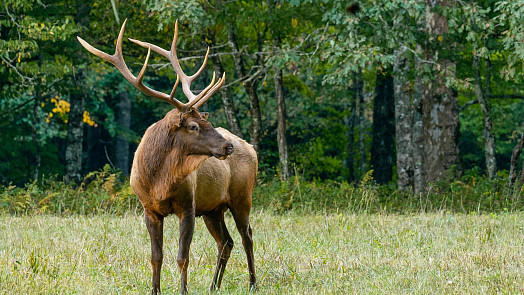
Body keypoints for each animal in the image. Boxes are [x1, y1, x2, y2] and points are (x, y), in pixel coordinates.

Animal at [78, 19, 258, 294]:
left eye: (206, 120)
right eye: (193, 126)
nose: (228, 147)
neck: (159, 182)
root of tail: (252, 148)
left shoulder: (188, 206)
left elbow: (183, 257)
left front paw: (183, 290)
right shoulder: (149, 209)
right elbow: (156, 257)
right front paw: (154, 290)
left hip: (241, 197)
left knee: (247, 236)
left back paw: (252, 283)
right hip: (213, 208)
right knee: (226, 242)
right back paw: (213, 286)